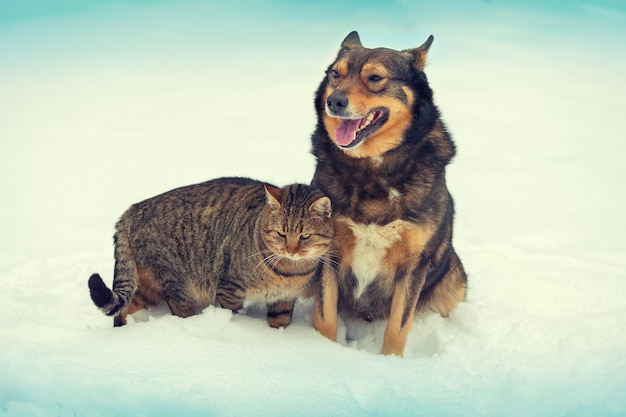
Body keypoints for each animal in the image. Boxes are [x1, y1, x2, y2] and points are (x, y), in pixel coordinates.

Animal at [88, 177, 334, 326]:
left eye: (305, 236)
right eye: (281, 233)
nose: (291, 250)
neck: (289, 271)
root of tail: (130, 211)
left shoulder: (284, 300)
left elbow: (279, 322)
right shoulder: (229, 288)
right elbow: (232, 314)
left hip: (146, 285)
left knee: (124, 308)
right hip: (178, 281)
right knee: (177, 305)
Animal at [310, 31, 466, 354]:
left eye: (374, 78)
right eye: (335, 74)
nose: (334, 101)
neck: (372, 169)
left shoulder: (413, 266)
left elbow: (398, 326)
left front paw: (389, 362)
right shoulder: (326, 253)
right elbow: (325, 318)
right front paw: (325, 353)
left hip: (453, 282)